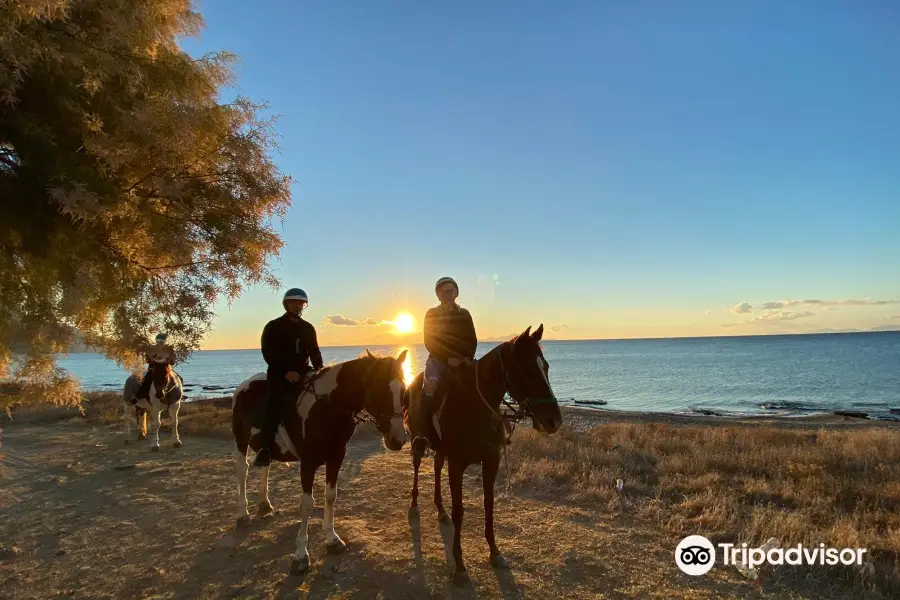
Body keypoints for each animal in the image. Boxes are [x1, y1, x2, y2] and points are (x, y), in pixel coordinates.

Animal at [230, 350, 410, 576]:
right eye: (379, 388)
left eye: (402, 389)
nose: (398, 439)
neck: (326, 407)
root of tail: (245, 385)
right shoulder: (308, 463)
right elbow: (307, 504)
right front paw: (301, 555)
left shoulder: (336, 457)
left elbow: (331, 496)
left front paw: (332, 540)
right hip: (240, 439)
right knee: (242, 472)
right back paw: (243, 514)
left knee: (266, 466)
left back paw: (264, 503)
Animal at [402, 324, 560, 584]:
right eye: (527, 369)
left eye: (545, 367)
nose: (554, 421)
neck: (474, 405)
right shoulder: (457, 464)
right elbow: (459, 511)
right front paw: (459, 566)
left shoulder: (491, 461)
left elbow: (489, 504)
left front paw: (495, 552)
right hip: (419, 442)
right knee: (416, 465)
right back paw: (414, 505)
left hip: (441, 450)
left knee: (436, 467)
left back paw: (440, 510)